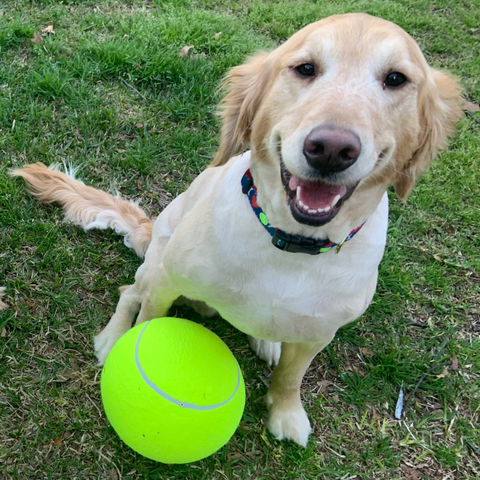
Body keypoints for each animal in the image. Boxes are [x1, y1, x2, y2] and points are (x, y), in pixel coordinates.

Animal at [14, 13, 462, 446]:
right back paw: (111, 339)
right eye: (305, 68)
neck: (289, 243)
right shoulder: (166, 282)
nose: (332, 149)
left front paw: (287, 413)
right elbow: (148, 321)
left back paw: (267, 341)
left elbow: (292, 377)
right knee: (129, 294)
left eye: (395, 79)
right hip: (156, 260)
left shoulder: (320, 332)